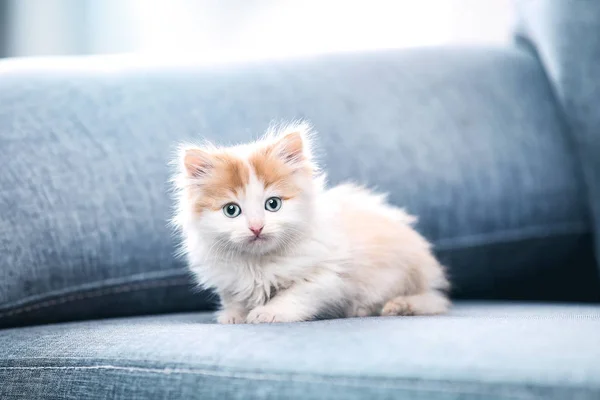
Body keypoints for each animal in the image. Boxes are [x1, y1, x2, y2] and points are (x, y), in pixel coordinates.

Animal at [171, 122, 448, 324]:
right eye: (231, 210)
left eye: (273, 204)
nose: (256, 227)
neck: (258, 263)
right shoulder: (228, 281)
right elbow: (234, 298)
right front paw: (233, 316)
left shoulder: (326, 276)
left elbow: (295, 295)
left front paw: (267, 313)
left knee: (434, 301)